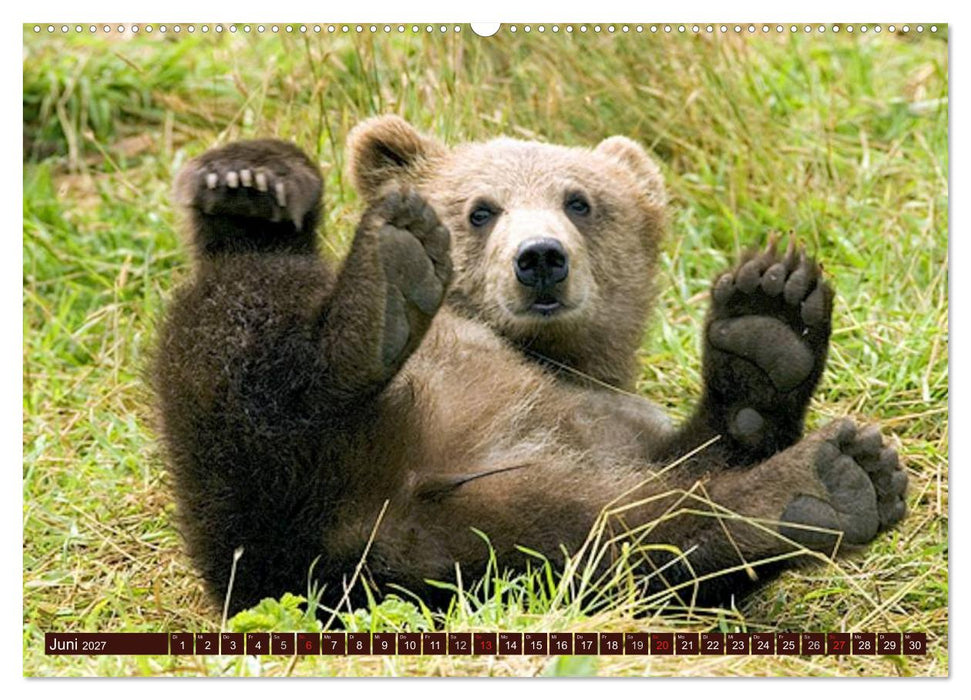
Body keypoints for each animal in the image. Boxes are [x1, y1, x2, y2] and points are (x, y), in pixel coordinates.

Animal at [152, 116, 908, 616]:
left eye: (579, 200)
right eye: (481, 209)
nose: (541, 257)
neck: (543, 353)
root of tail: (362, 526)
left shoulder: (608, 423)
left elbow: (695, 466)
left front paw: (768, 323)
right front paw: (251, 178)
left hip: (485, 539)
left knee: (626, 539)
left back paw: (825, 479)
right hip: (259, 497)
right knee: (242, 329)